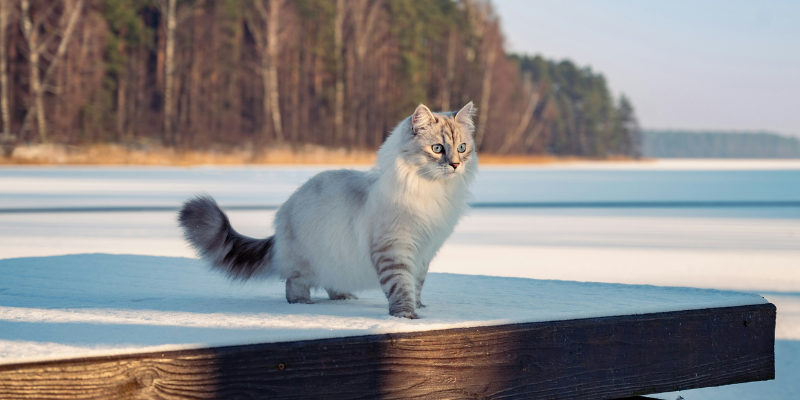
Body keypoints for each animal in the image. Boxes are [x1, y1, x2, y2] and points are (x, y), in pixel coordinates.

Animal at [179, 102, 478, 318]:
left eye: (462, 148)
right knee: (292, 285)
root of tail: (285, 209)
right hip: (305, 262)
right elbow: (401, 286)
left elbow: (416, 286)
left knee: (332, 282)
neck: (432, 190)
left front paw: (420, 308)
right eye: (437, 148)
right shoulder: (395, 248)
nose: (455, 165)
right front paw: (406, 316)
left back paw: (344, 297)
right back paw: (303, 303)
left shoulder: (425, 252)